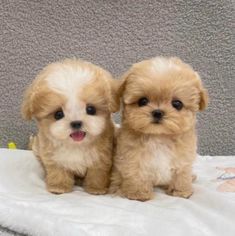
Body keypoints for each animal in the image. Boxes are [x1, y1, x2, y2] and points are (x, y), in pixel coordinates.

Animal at [22, 58, 119, 195]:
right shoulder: (54, 158)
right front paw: (59, 187)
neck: (76, 145)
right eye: (58, 114)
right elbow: (58, 172)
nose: (76, 123)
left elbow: (97, 174)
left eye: (91, 109)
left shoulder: (101, 157)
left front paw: (96, 189)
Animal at [109, 57, 208, 201]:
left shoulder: (183, 158)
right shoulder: (133, 158)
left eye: (177, 104)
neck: (159, 136)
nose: (157, 112)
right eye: (142, 101)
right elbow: (137, 174)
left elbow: (181, 174)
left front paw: (180, 191)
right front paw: (139, 194)